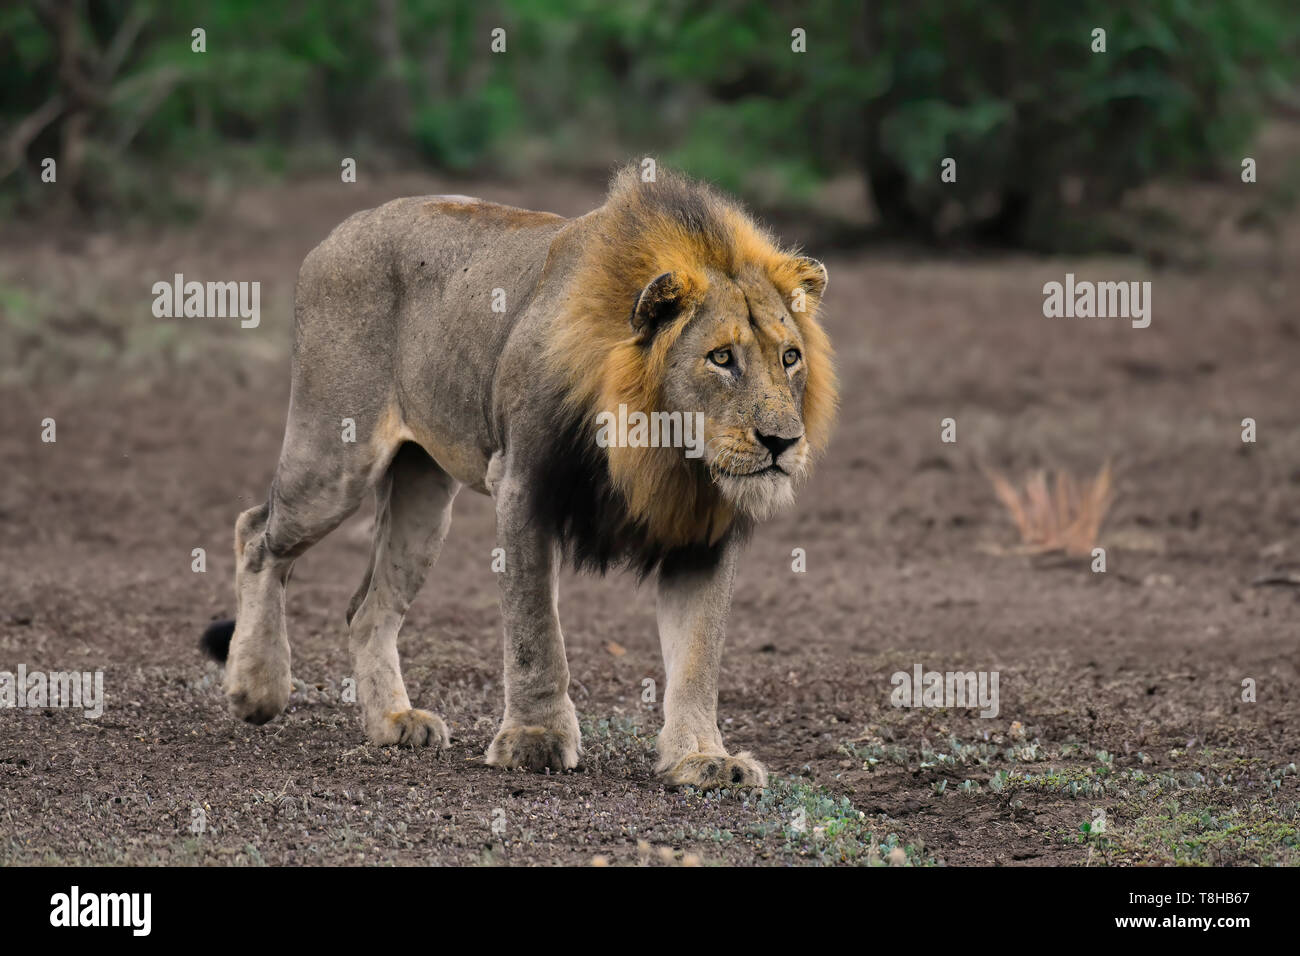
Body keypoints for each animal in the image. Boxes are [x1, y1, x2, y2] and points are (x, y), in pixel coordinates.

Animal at [198, 164, 837, 790]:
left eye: (790, 357)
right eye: (721, 358)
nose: (783, 442)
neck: (665, 453)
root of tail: (343, 228)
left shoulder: (704, 530)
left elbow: (699, 656)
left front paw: (703, 759)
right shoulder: (523, 485)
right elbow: (536, 633)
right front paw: (536, 739)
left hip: (423, 500)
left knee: (366, 609)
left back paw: (394, 722)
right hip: (334, 460)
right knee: (256, 534)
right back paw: (256, 688)